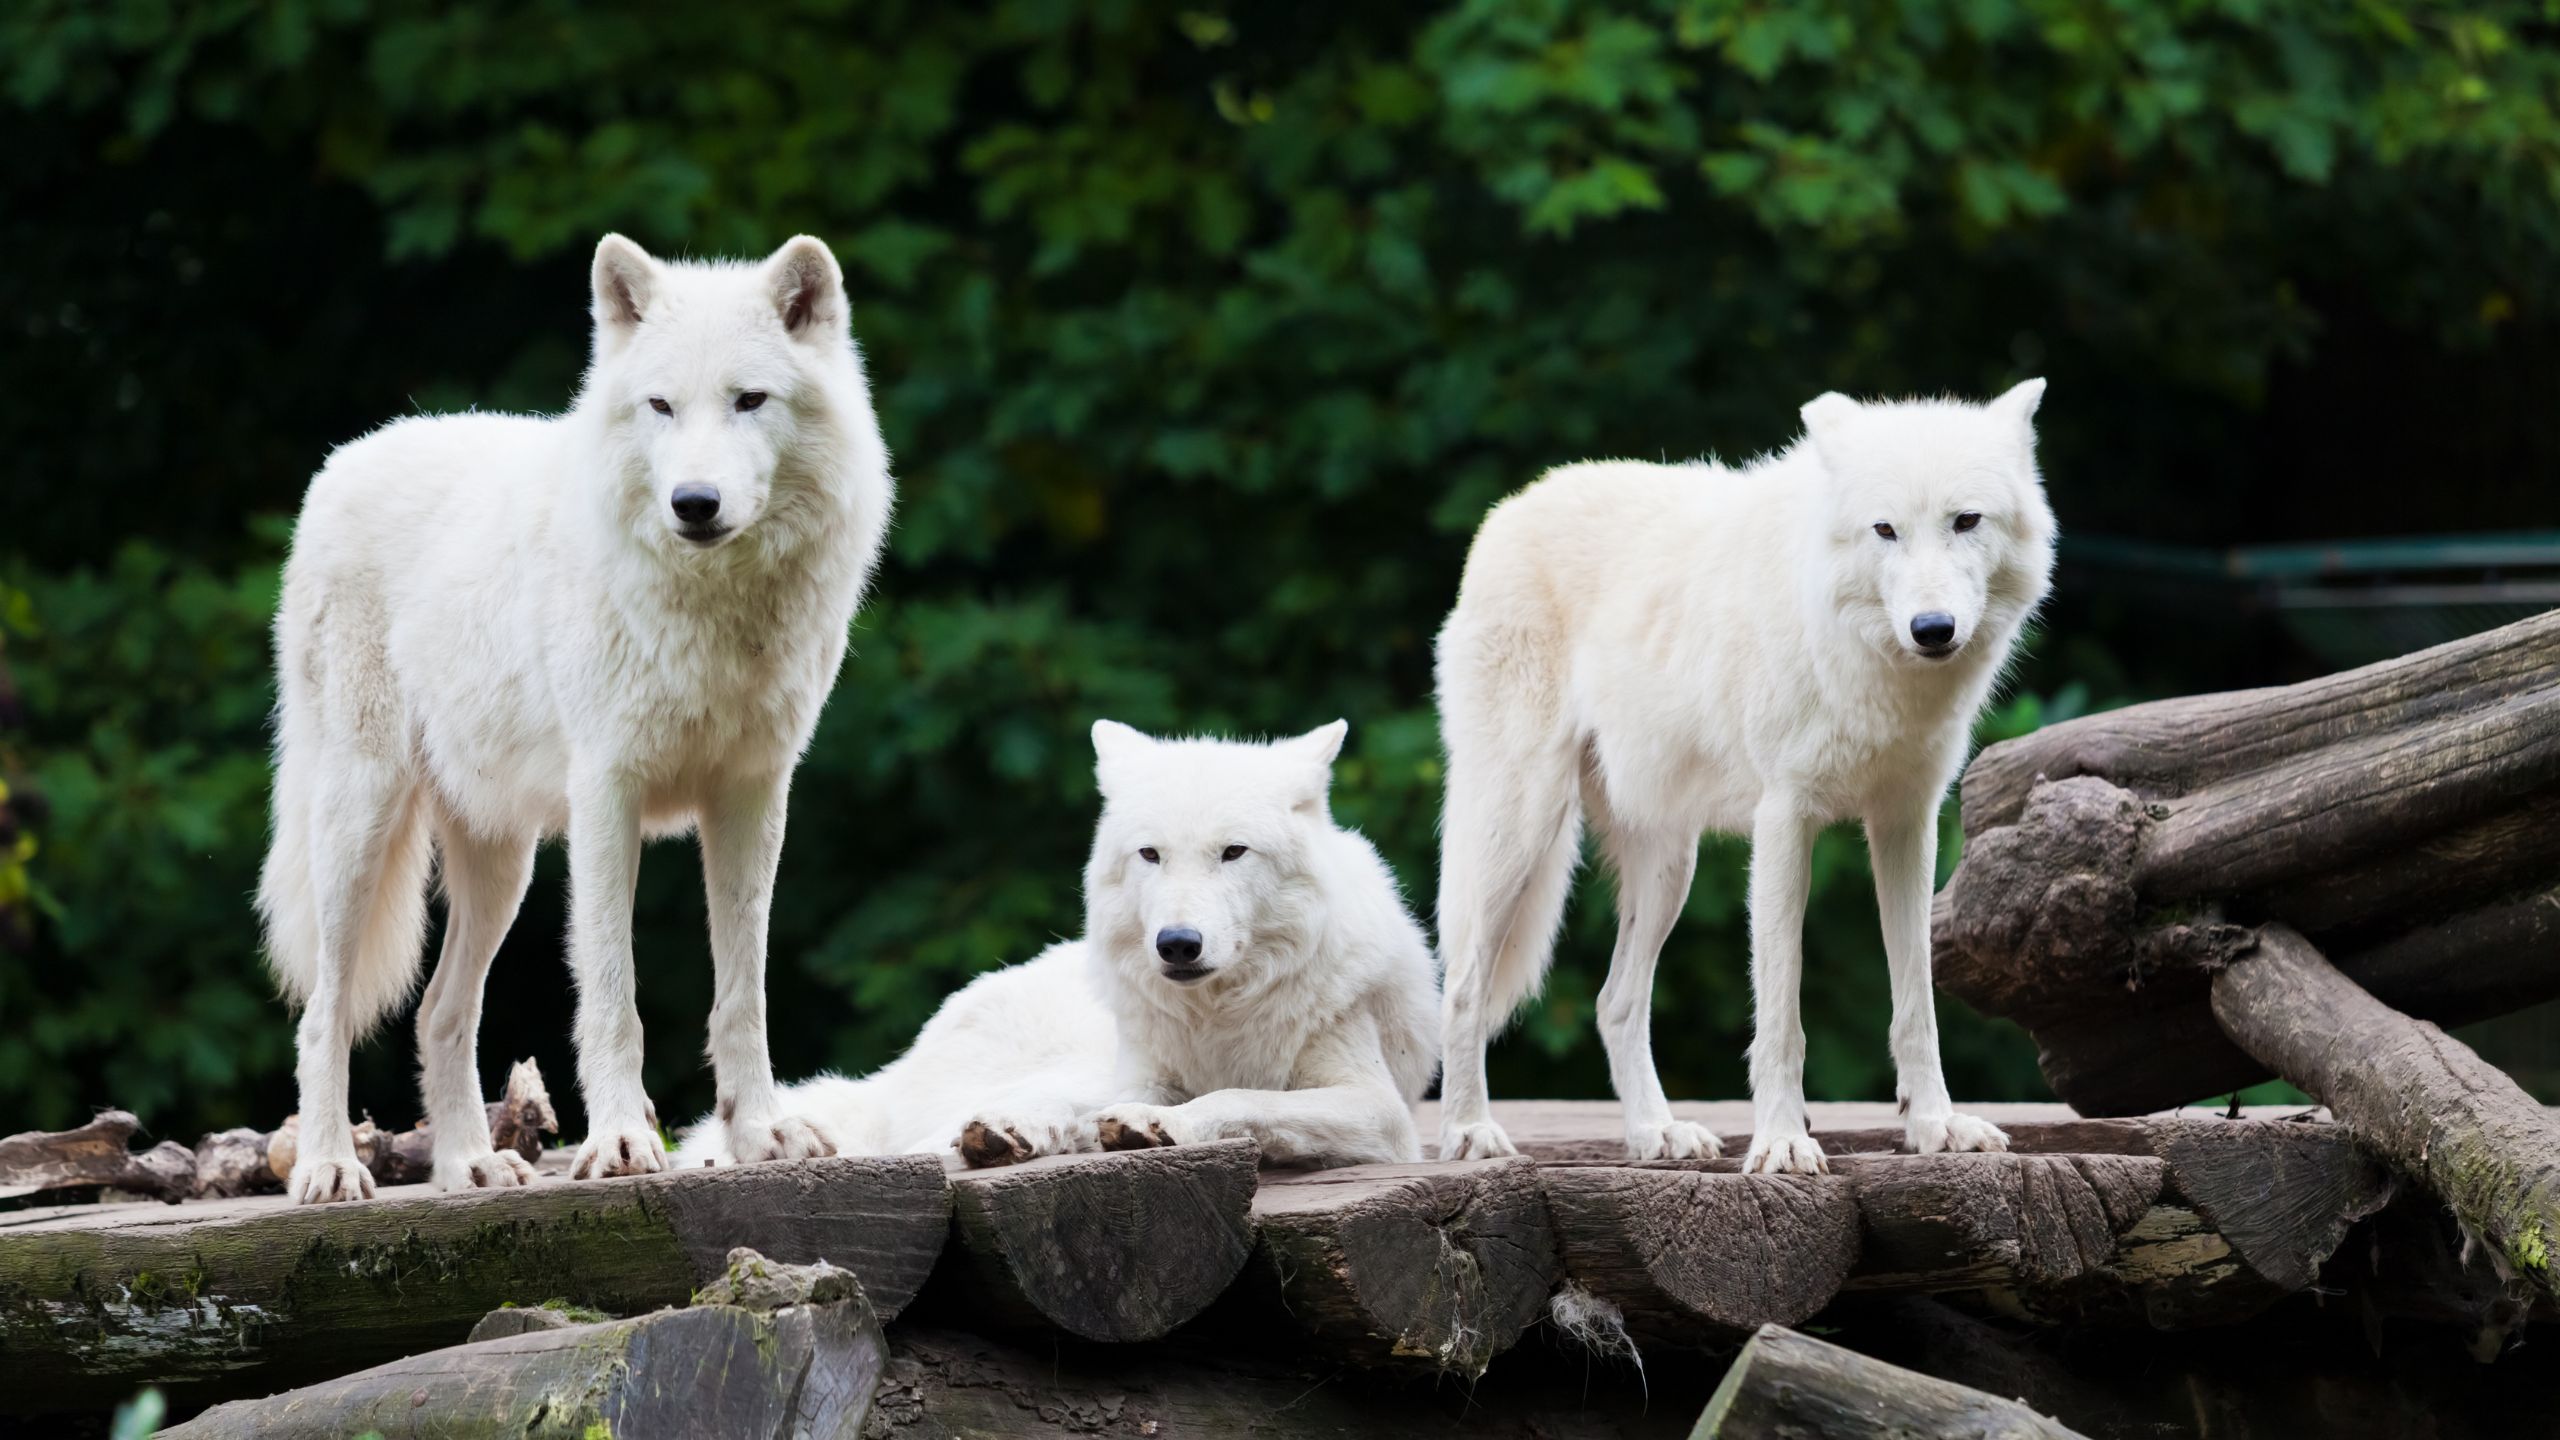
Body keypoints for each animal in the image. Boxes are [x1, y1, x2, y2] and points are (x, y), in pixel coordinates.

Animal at [257, 234, 892, 1204]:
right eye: (661, 405)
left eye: (749, 400)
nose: (694, 503)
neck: (714, 613)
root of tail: (342, 461)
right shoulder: (606, 795)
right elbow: (612, 993)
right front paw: (622, 1143)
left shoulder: (753, 797)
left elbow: (743, 993)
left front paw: (762, 1135)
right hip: (359, 824)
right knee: (324, 1012)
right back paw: (330, 1167)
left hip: (501, 863)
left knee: (440, 1012)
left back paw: (470, 1167)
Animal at [676, 721, 1439, 1170]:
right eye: (1151, 855)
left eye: (1233, 853)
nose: (1178, 944)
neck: (1222, 1015)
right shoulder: (1143, 1071)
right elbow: (1197, 1098)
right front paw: (1136, 1122)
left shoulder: (1377, 1109)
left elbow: (1244, 1101)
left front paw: (1159, 1125)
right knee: (948, 1129)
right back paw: (996, 1134)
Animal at [1433, 380, 2055, 1173]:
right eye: (1885, 530)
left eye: (1965, 521)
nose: (1933, 628)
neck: (1866, 667)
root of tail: (1510, 508)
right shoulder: (1785, 821)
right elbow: (1782, 1017)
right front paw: (1783, 1142)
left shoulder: (1907, 823)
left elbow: (1917, 1004)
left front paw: (1935, 1126)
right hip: (1522, 828)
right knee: (1463, 987)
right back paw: (1468, 1131)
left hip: (1669, 867)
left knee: (1614, 1002)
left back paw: (1656, 1134)